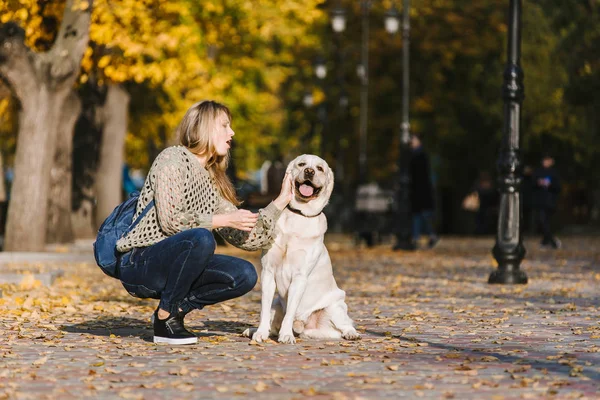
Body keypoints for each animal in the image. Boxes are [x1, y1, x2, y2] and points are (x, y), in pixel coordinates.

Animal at [243, 154, 358, 344]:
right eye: (302, 164)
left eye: (320, 168)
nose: (309, 171)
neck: (299, 214)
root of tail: (303, 328)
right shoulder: (268, 272)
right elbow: (263, 310)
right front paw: (260, 332)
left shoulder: (300, 277)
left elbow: (290, 312)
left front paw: (286, 335)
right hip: (277, 304)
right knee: (273, 324)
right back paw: (253, 330)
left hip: (336, 306)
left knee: (346, 324)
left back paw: (351, 333)